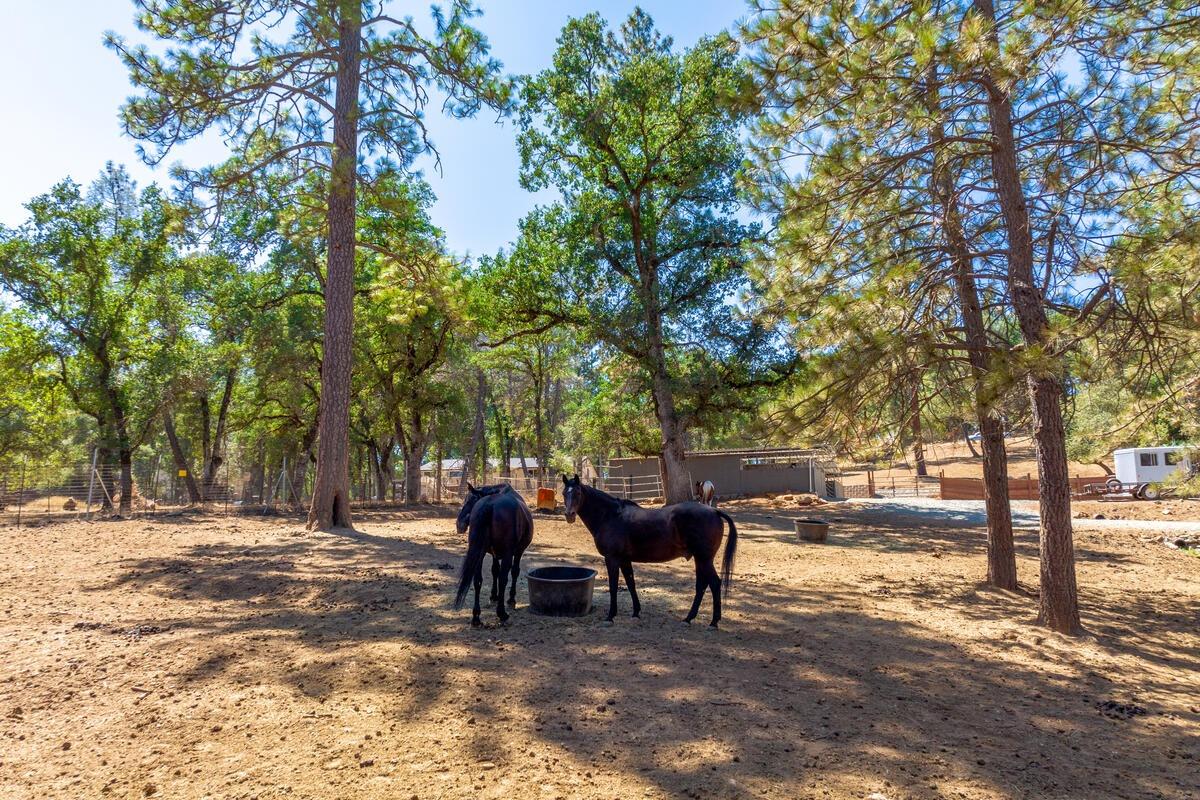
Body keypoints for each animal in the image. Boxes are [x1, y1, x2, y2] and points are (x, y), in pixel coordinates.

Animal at [451, 482, 532, 623]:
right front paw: (511, 600)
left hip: (480, 553)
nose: (459, 525)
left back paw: (476, 616)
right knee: (503, 579)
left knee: (477, 580)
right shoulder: (517, 552)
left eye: (471, 500)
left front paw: (493, 596)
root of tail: (489, 504)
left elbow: (494, 571)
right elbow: (513, 572)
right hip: (507, 554)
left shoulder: (494, 554)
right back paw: (502, 613)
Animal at [556, 472, 734, 628]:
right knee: (702, 585)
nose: (569, 515)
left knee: (714, 583)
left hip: (704, 559)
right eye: (564, 493)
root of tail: (714, 511)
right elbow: (631, 583)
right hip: (700, 559)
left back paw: (713, 622)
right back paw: (688, 619)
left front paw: (610, 617)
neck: (610, 516)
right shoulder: (624, 559)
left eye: (577, 493)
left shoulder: (612, 558)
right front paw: (636, 613)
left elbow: (613, 586)